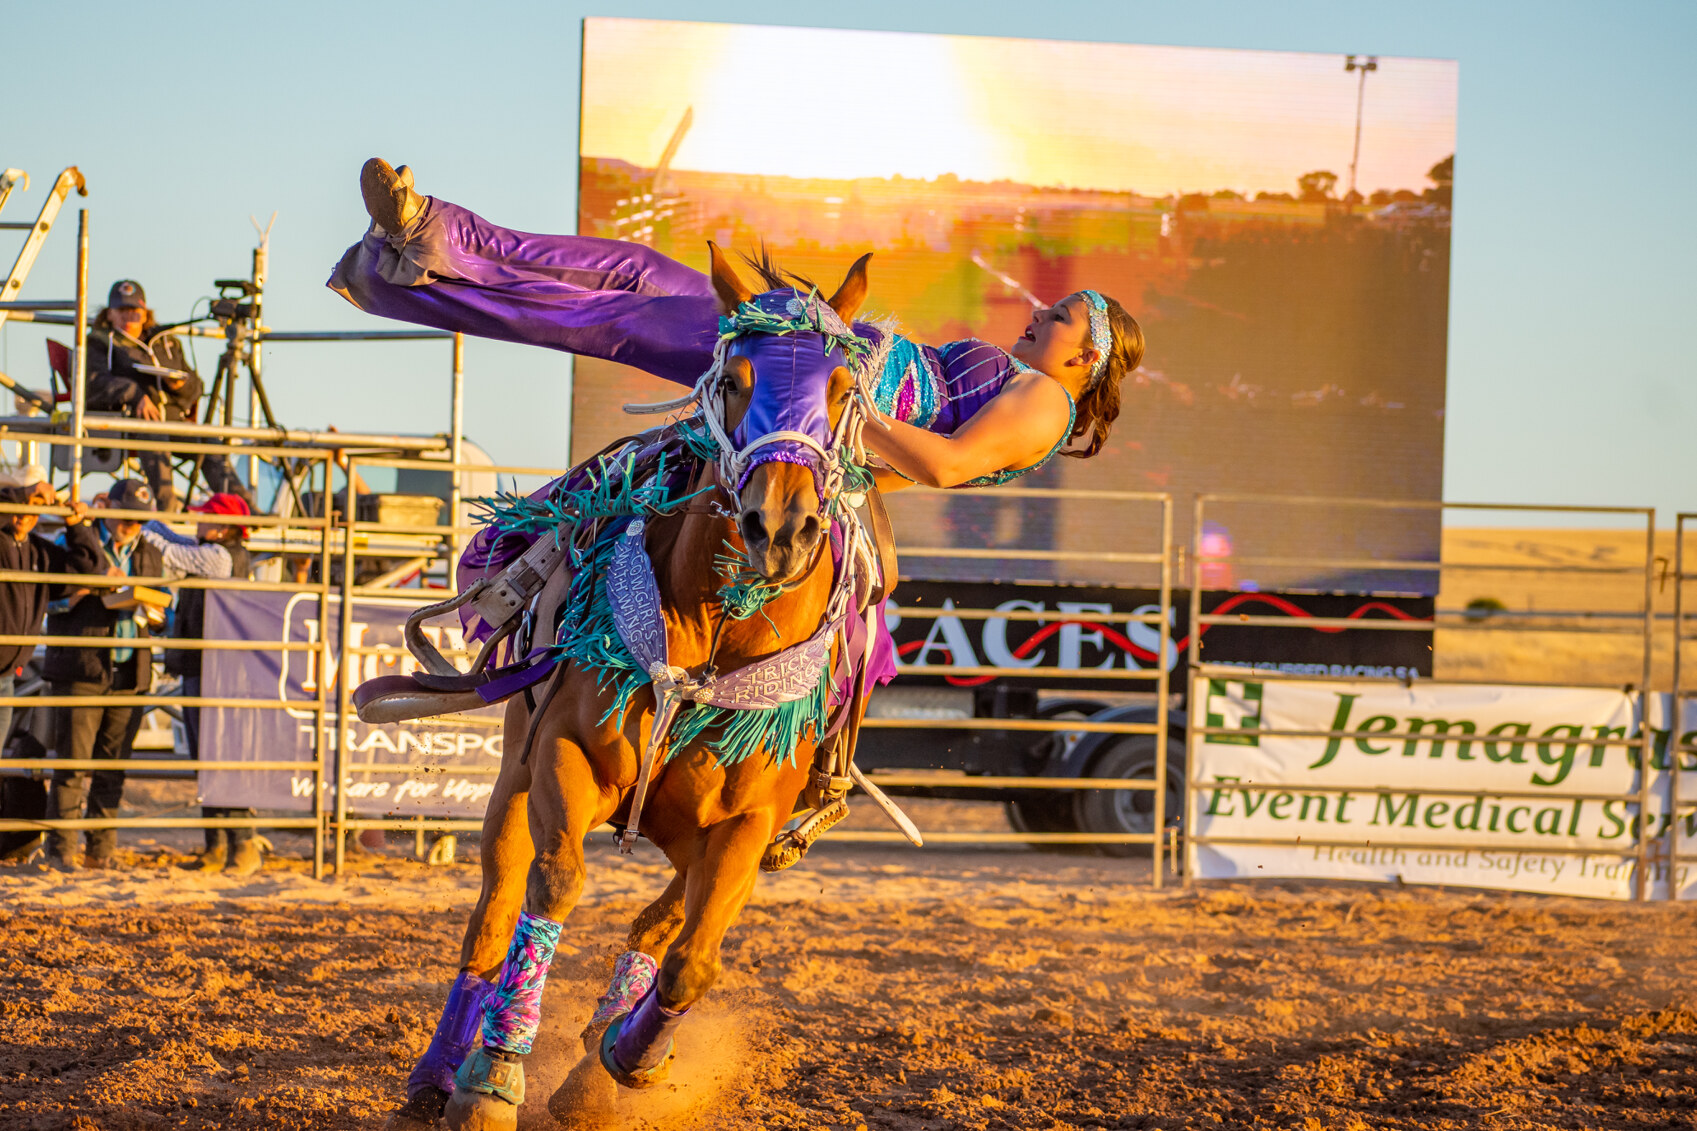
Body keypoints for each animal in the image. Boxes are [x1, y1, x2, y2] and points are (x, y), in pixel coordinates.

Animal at [388, 249, 875, 1127]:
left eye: (843, 388)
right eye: (733, 379)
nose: (779, 529)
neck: (713, 636)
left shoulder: (749, 822)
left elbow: (692, 958)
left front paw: (623, 1057)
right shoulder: (565, 759)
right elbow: (555, 884)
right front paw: (492, 1078)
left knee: (660, 923)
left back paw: (600, 1047)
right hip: (512, 777)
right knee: (492, 913)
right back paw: (442, 1069)